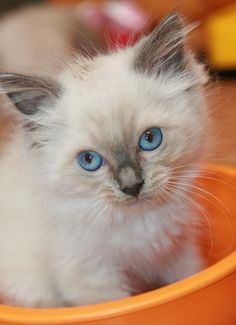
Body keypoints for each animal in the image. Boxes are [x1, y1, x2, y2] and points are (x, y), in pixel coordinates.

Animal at [0, 13, 209, 306]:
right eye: (89, 160)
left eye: (150, 139)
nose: (132, 187)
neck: (139, 222)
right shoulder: (92, 278)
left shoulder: (177, 251)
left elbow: (188, 278)